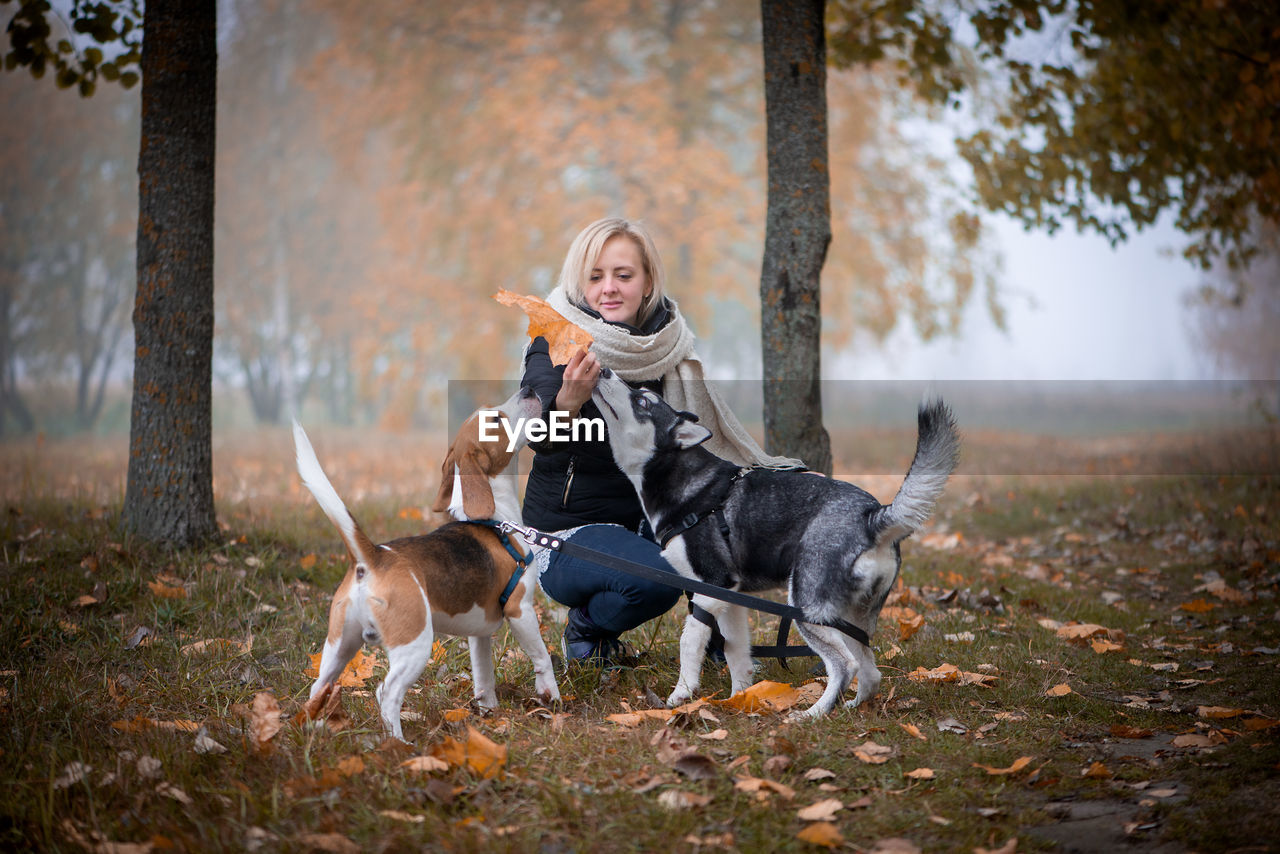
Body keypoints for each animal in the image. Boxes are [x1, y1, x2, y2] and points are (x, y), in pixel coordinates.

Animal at [302, 386, 563, 742]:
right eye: (495, 419)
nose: (529, 388)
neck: (497, 521)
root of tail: (374, 557)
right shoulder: (520, 609)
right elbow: (541, 657)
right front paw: (552, 698)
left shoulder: (478, 632)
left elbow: (484, 677)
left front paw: (490, 713)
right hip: (414, 644)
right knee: (387, 693)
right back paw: (399, 744)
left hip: (338, 645)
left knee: (318, 687)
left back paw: (311, 730)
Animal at [591, 371, 962, 717]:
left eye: (643, 401)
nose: (605, 370)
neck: (685, 485)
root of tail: (873, 515)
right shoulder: (730, 598)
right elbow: (736, 652)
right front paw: (739, 699)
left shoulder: (710, 587)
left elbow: (689, 640)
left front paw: (682, 693)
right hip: (847, 620)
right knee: (870, 674)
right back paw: (850, 707)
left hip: (807, 609)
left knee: (846, 666)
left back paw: (812, 714)